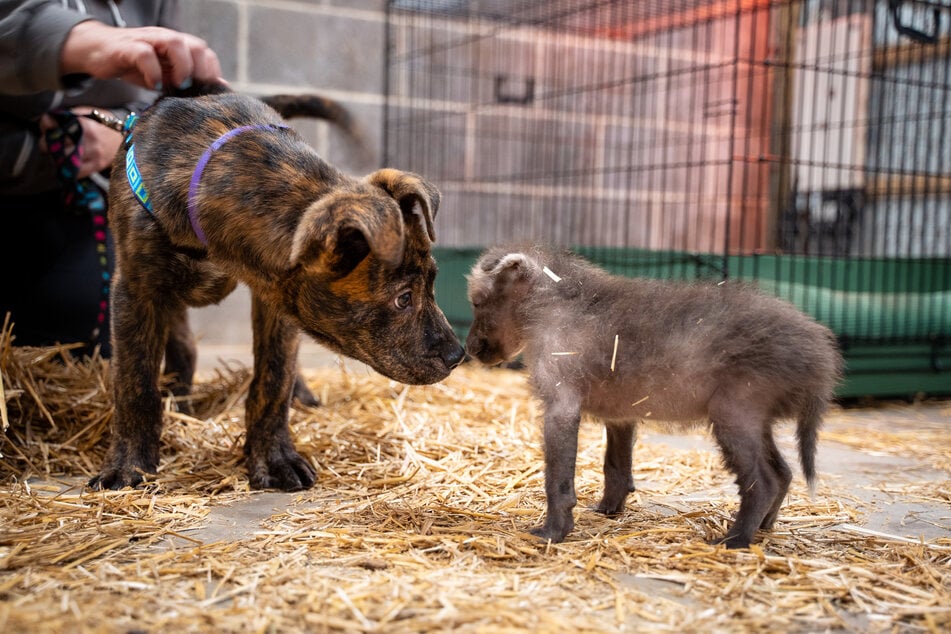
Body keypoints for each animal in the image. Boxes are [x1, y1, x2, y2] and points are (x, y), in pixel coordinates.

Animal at [91, 86, 462, 488]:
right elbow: (135, 381)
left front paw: (274, 458)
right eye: (403, 299)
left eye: (432, 282)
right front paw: (129, 464)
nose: (458, 356)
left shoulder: (275, 298)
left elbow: (274, 379)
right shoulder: (135, 288)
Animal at [464, 243, 844, 548]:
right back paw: (764, 528)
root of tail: (818, 357)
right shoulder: (620, 416)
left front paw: (554, 532)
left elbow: (557, 481)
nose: (469, 350)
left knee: (762, 483)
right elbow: (616, 467)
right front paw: (608, 510)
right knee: (783, 473)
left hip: (734, 416)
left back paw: (735, 540)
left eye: (478, 302)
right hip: (754, 420)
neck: (552, 302)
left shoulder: (561, 407)